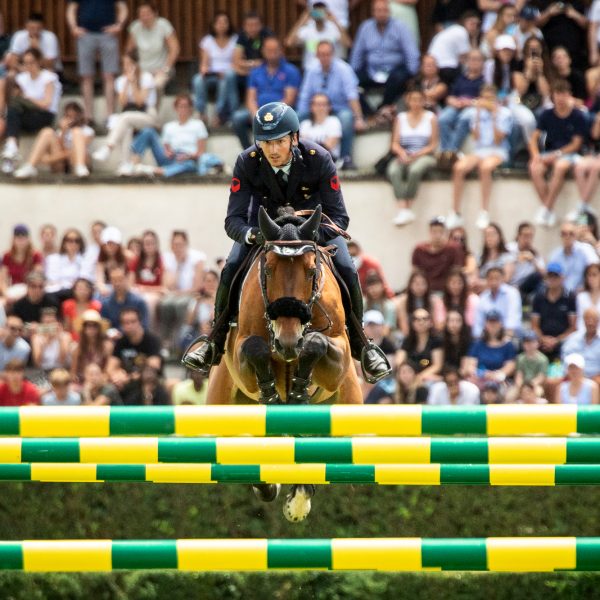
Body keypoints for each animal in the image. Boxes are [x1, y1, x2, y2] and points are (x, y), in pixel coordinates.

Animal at [206, 205, 360, 520]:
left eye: (311, 271)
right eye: (268, 269)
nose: (288, 342)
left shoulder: (337, 354)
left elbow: (316, 343)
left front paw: (299, 390)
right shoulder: (241, 351)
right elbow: (255, 348)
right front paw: (272, 395)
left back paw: (299, 496)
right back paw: (271, 485)